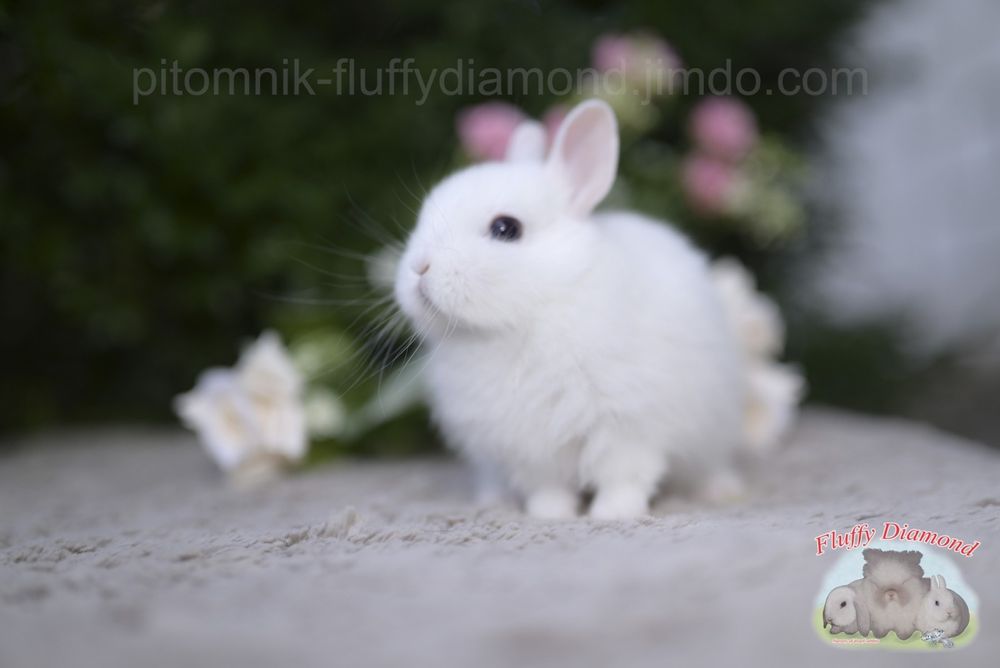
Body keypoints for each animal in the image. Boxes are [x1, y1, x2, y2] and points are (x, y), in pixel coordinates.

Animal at [393, 98, 797, 519]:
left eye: (506, 228)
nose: (419, 267)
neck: (535, 312)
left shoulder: (626, 427)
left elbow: (623, 477)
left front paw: (614, 515)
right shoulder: (531, 448)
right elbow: (548, 487)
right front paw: (549, 516)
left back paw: (721, 492)